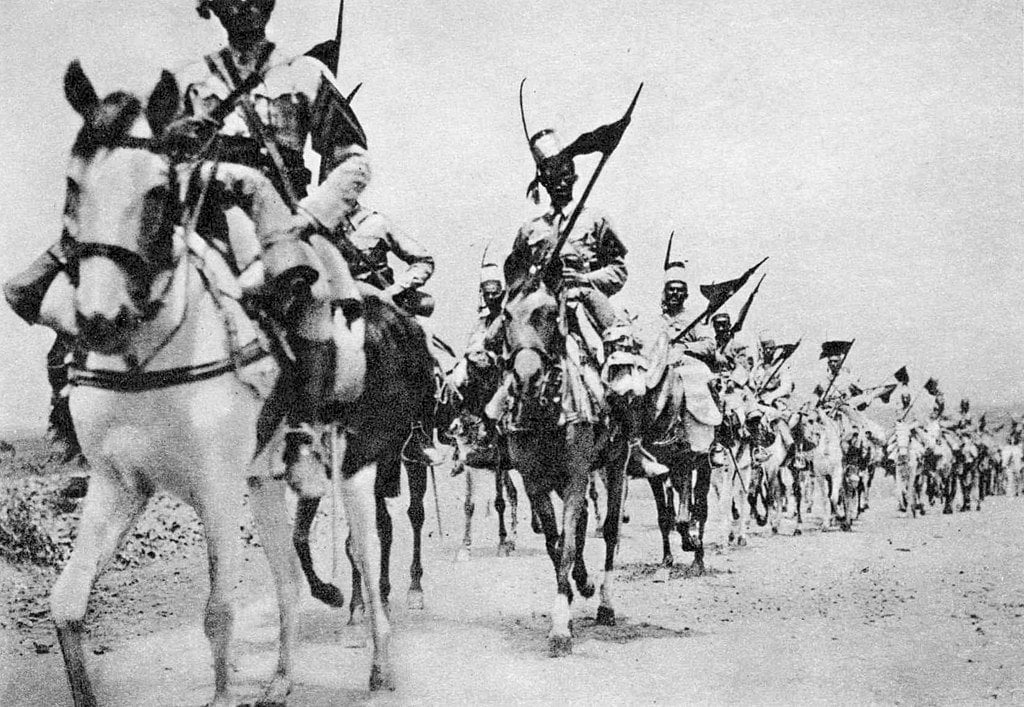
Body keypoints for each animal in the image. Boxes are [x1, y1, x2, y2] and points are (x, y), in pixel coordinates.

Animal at [48, 63, 399, 700]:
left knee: (365, 555)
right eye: (72, 184)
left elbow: (218, 613)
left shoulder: (215, 488)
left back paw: (380, 667)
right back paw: (280, 681)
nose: (100, 317)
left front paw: (223, 692)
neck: (147, 364)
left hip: (355, 469)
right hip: (264, 483)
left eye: (159, 192)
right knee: (288, 580)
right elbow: (66, 604)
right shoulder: (117, 486)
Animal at [497, 278, 622, 651]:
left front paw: (560, 629)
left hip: (616, 462)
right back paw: (583, 582)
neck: (546, 413)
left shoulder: (578, 476)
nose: (527, 377)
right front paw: (567, 602)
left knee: (609, 530)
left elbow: (566, 544)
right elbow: (556, 544)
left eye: (551, 314)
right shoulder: (534, 482)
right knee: (580, 524)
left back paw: (605, 604)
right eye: (506, 315)